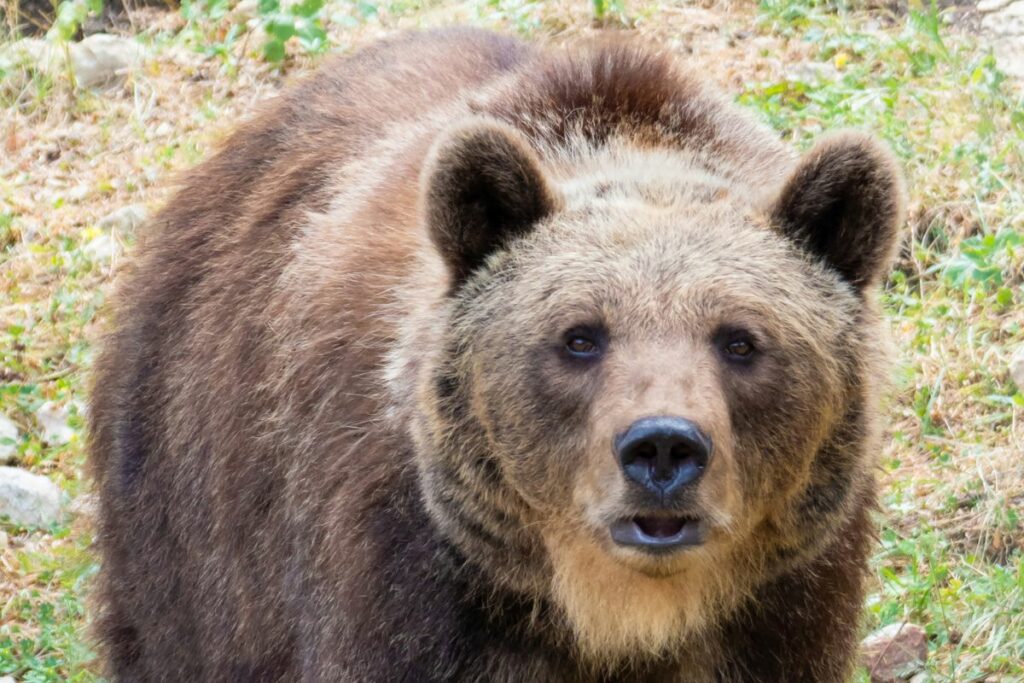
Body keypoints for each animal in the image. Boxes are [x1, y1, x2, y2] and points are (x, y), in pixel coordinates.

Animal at [88, 26, 905, 683]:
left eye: (740, 339)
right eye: (580, 336)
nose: (664, 448)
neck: (617, 614)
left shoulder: (787, 603)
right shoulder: (405, 584)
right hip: (193, 535)